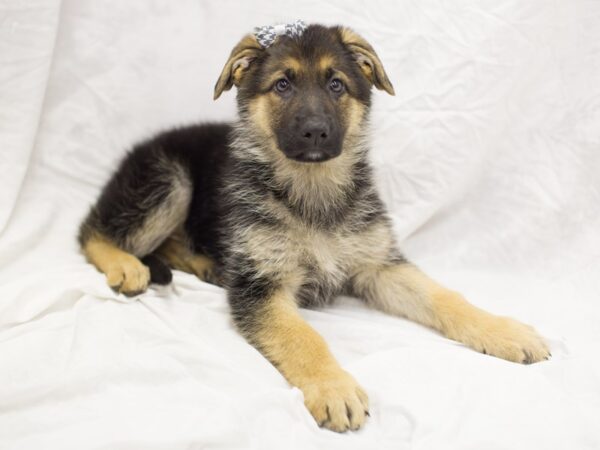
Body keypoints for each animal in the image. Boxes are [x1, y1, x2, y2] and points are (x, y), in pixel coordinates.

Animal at [79, 24, 548, 432]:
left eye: (336, 84)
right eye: (282, 85)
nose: (315, 132)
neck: (313, 192)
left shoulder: (379, 265)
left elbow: (444, 297)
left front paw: (501, 330)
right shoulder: (262, 286)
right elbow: (303, 337)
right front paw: (333, 386)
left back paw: (205, 263)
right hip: (168, 179)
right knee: (90, 231)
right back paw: (126, 266)